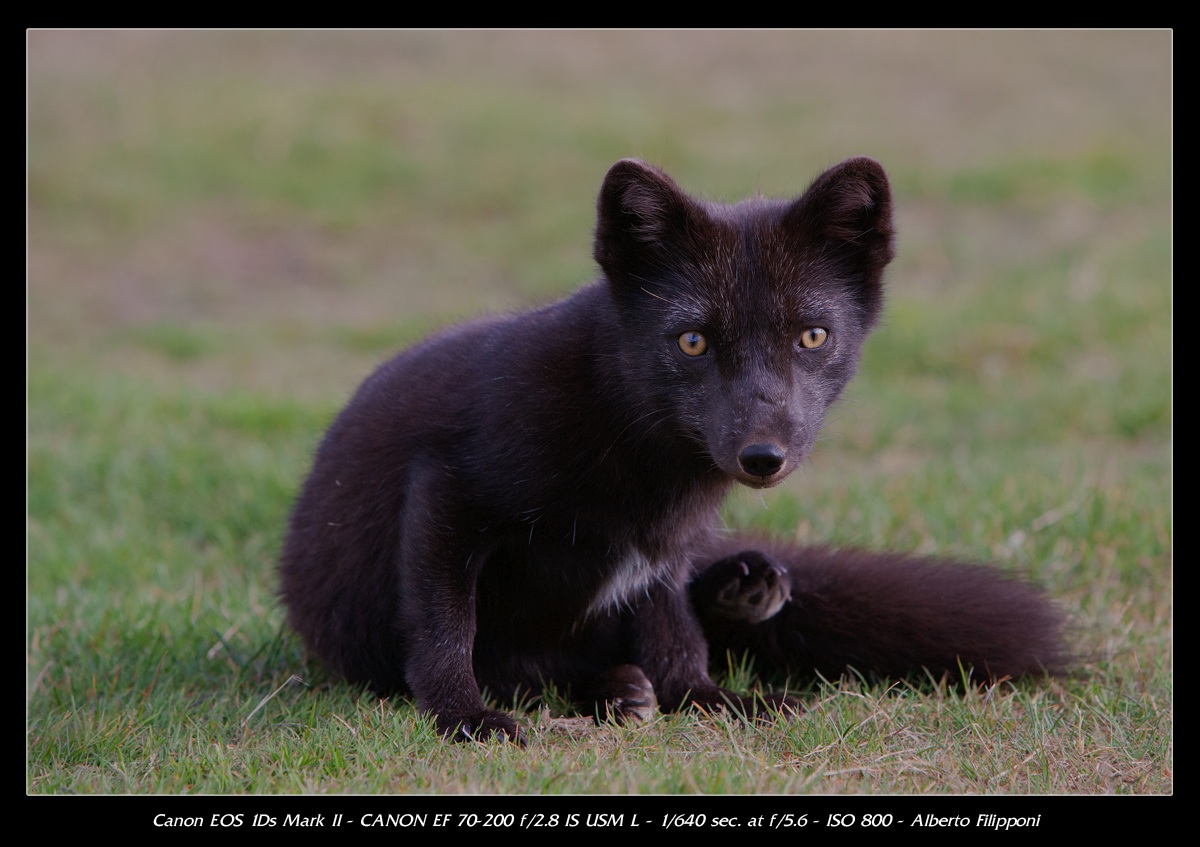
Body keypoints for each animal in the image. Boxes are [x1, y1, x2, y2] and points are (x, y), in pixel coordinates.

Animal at [279, 157, 1067, 743]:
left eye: (812, 336)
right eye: (692, 341)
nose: (762, 457)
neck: (639, 456)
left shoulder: (664, 549)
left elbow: (674, 632)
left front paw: (707, 700)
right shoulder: (447, 493)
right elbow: (448, 626)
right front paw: (463, 717)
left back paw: (735, 594)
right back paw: (619, 688)